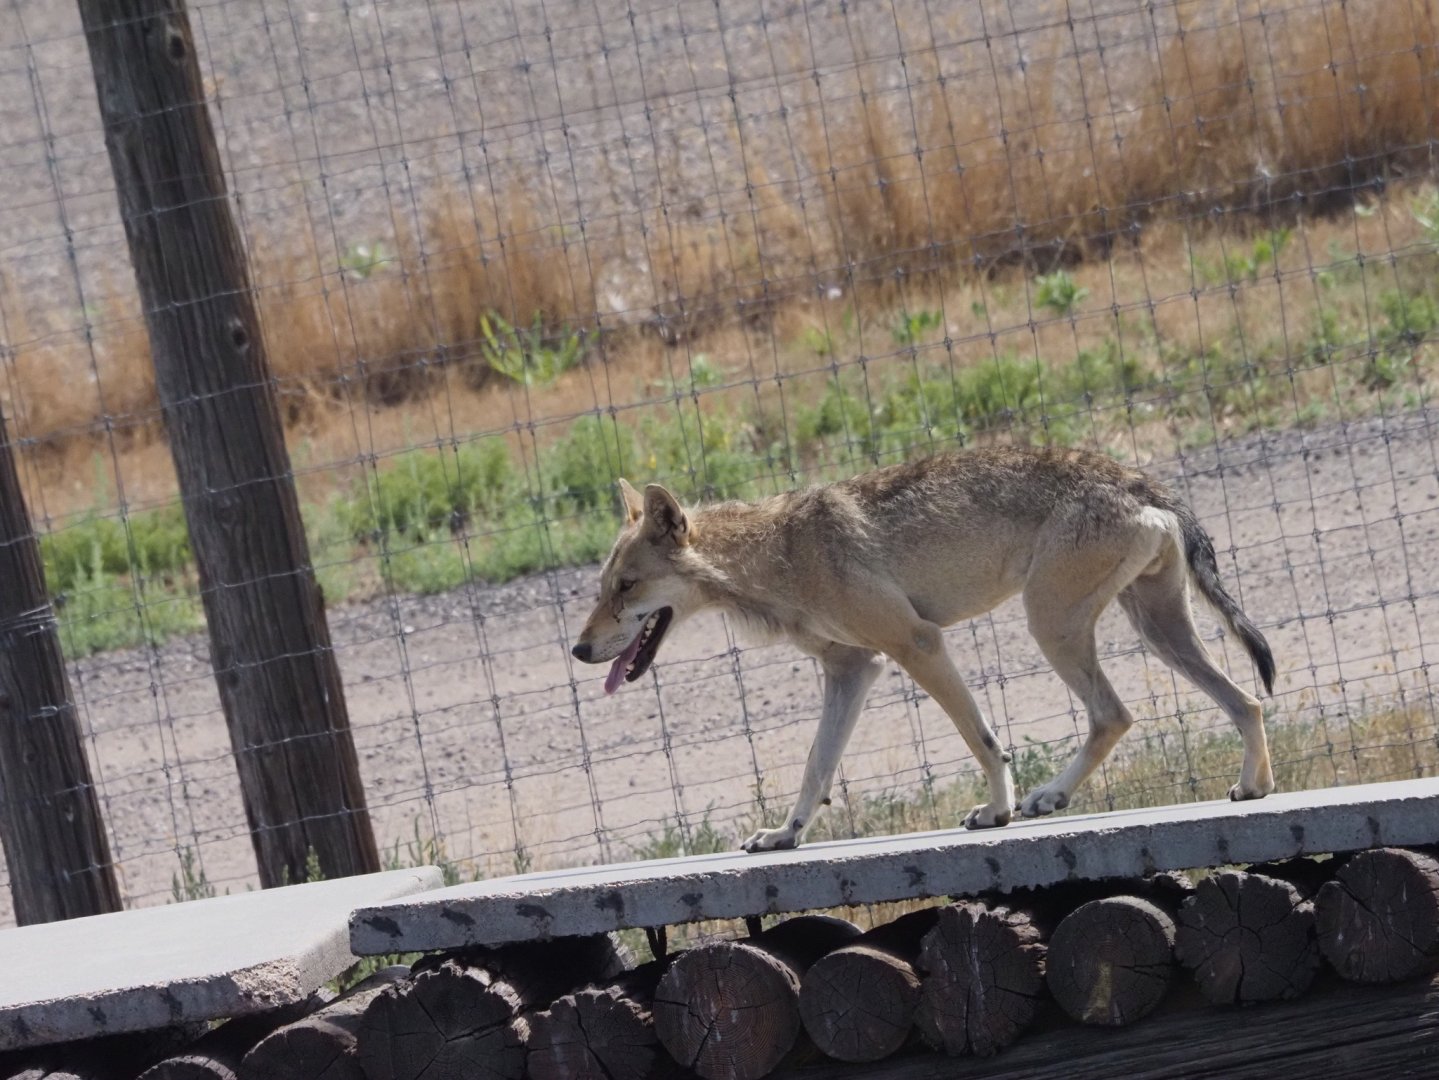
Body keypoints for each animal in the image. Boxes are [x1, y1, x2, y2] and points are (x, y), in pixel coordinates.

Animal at [571, 446, 1276, 852]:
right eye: (602, 588)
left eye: (626, 587)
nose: (578, 651)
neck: (778, 554)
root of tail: (1136, 479)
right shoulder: (853, 670)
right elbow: (816, 769)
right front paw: (785, 835)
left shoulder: (916, 645)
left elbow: (984, 741)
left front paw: (998, 812)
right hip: (1157, 633)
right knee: (1247, 703)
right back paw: (1254, 789)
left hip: (1051, 627)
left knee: (1116, 714)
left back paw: (1048, 796)